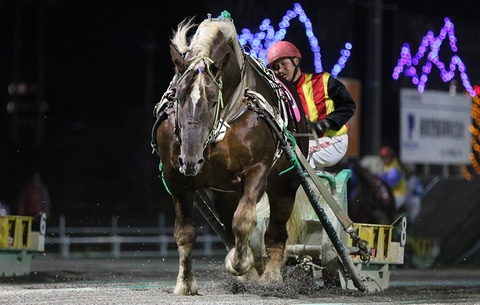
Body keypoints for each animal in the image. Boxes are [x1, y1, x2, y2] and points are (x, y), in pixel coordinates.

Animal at [153, 15, 308, 294]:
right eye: (178, 98)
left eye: (214, 100)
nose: (190, 160)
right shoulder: (175, 177)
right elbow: (185, 231)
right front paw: (185, 283)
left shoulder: (258, 169)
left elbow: (244, 220)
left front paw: (240, 263)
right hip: (224, 191)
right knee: (228, 222)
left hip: (285, 183)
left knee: (276, 229)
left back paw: (270, 277)